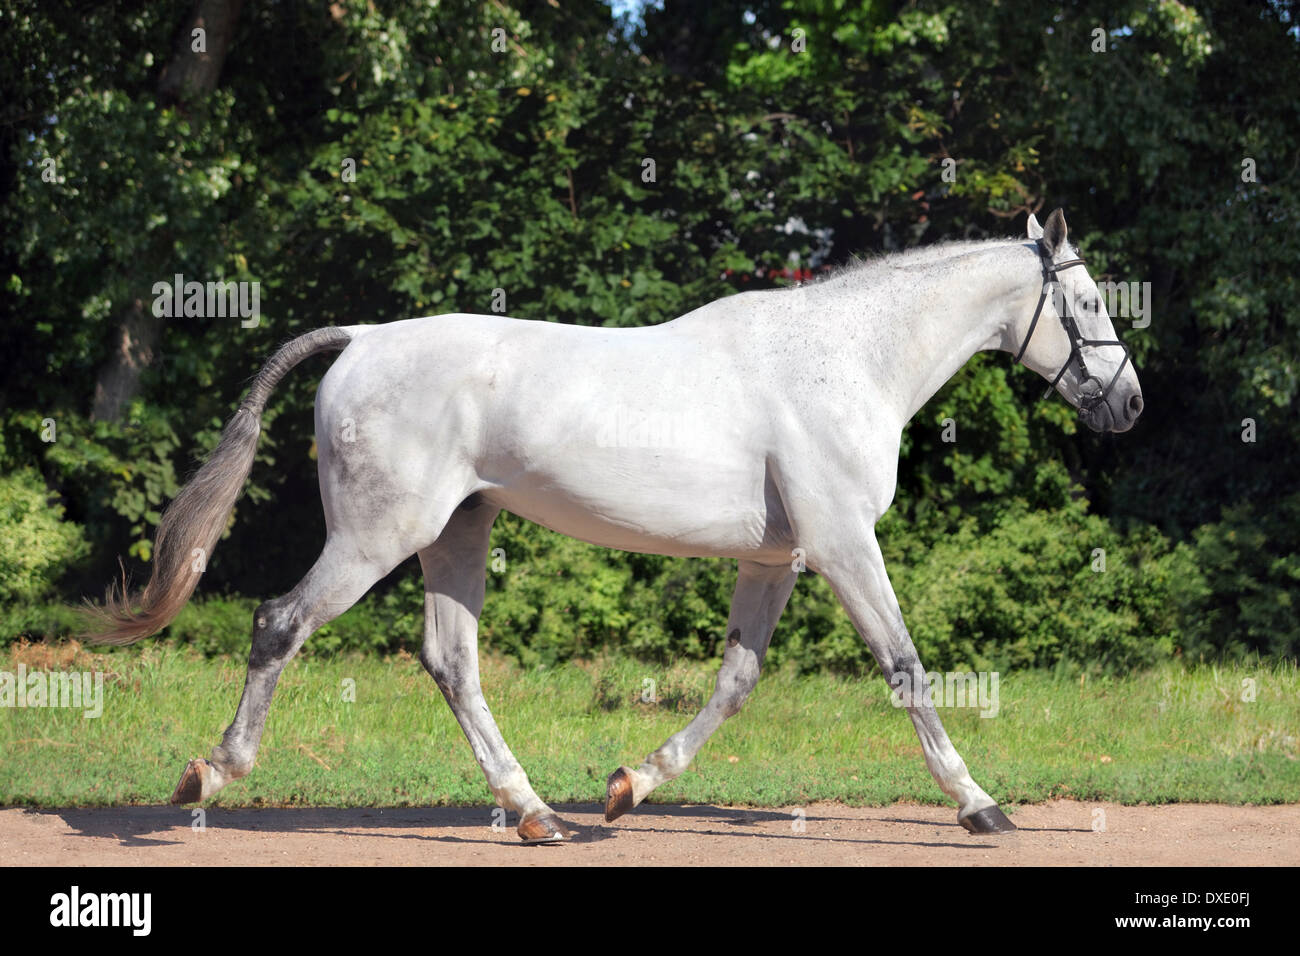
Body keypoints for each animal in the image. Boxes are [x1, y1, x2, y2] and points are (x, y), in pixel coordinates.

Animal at [89, 208, 1143, 842]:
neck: (848, 360)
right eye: (1090, 302)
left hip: (457, 534)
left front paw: (630, 785)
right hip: (375, 539)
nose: (1128, 402)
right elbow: (908, 669)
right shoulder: (846, 545)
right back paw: (209, 777)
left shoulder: (779, 560)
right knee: (283, 623)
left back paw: (535, 814)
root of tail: (364, 340)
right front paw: (980, 805)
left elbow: (735, 682)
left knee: (451, 662)